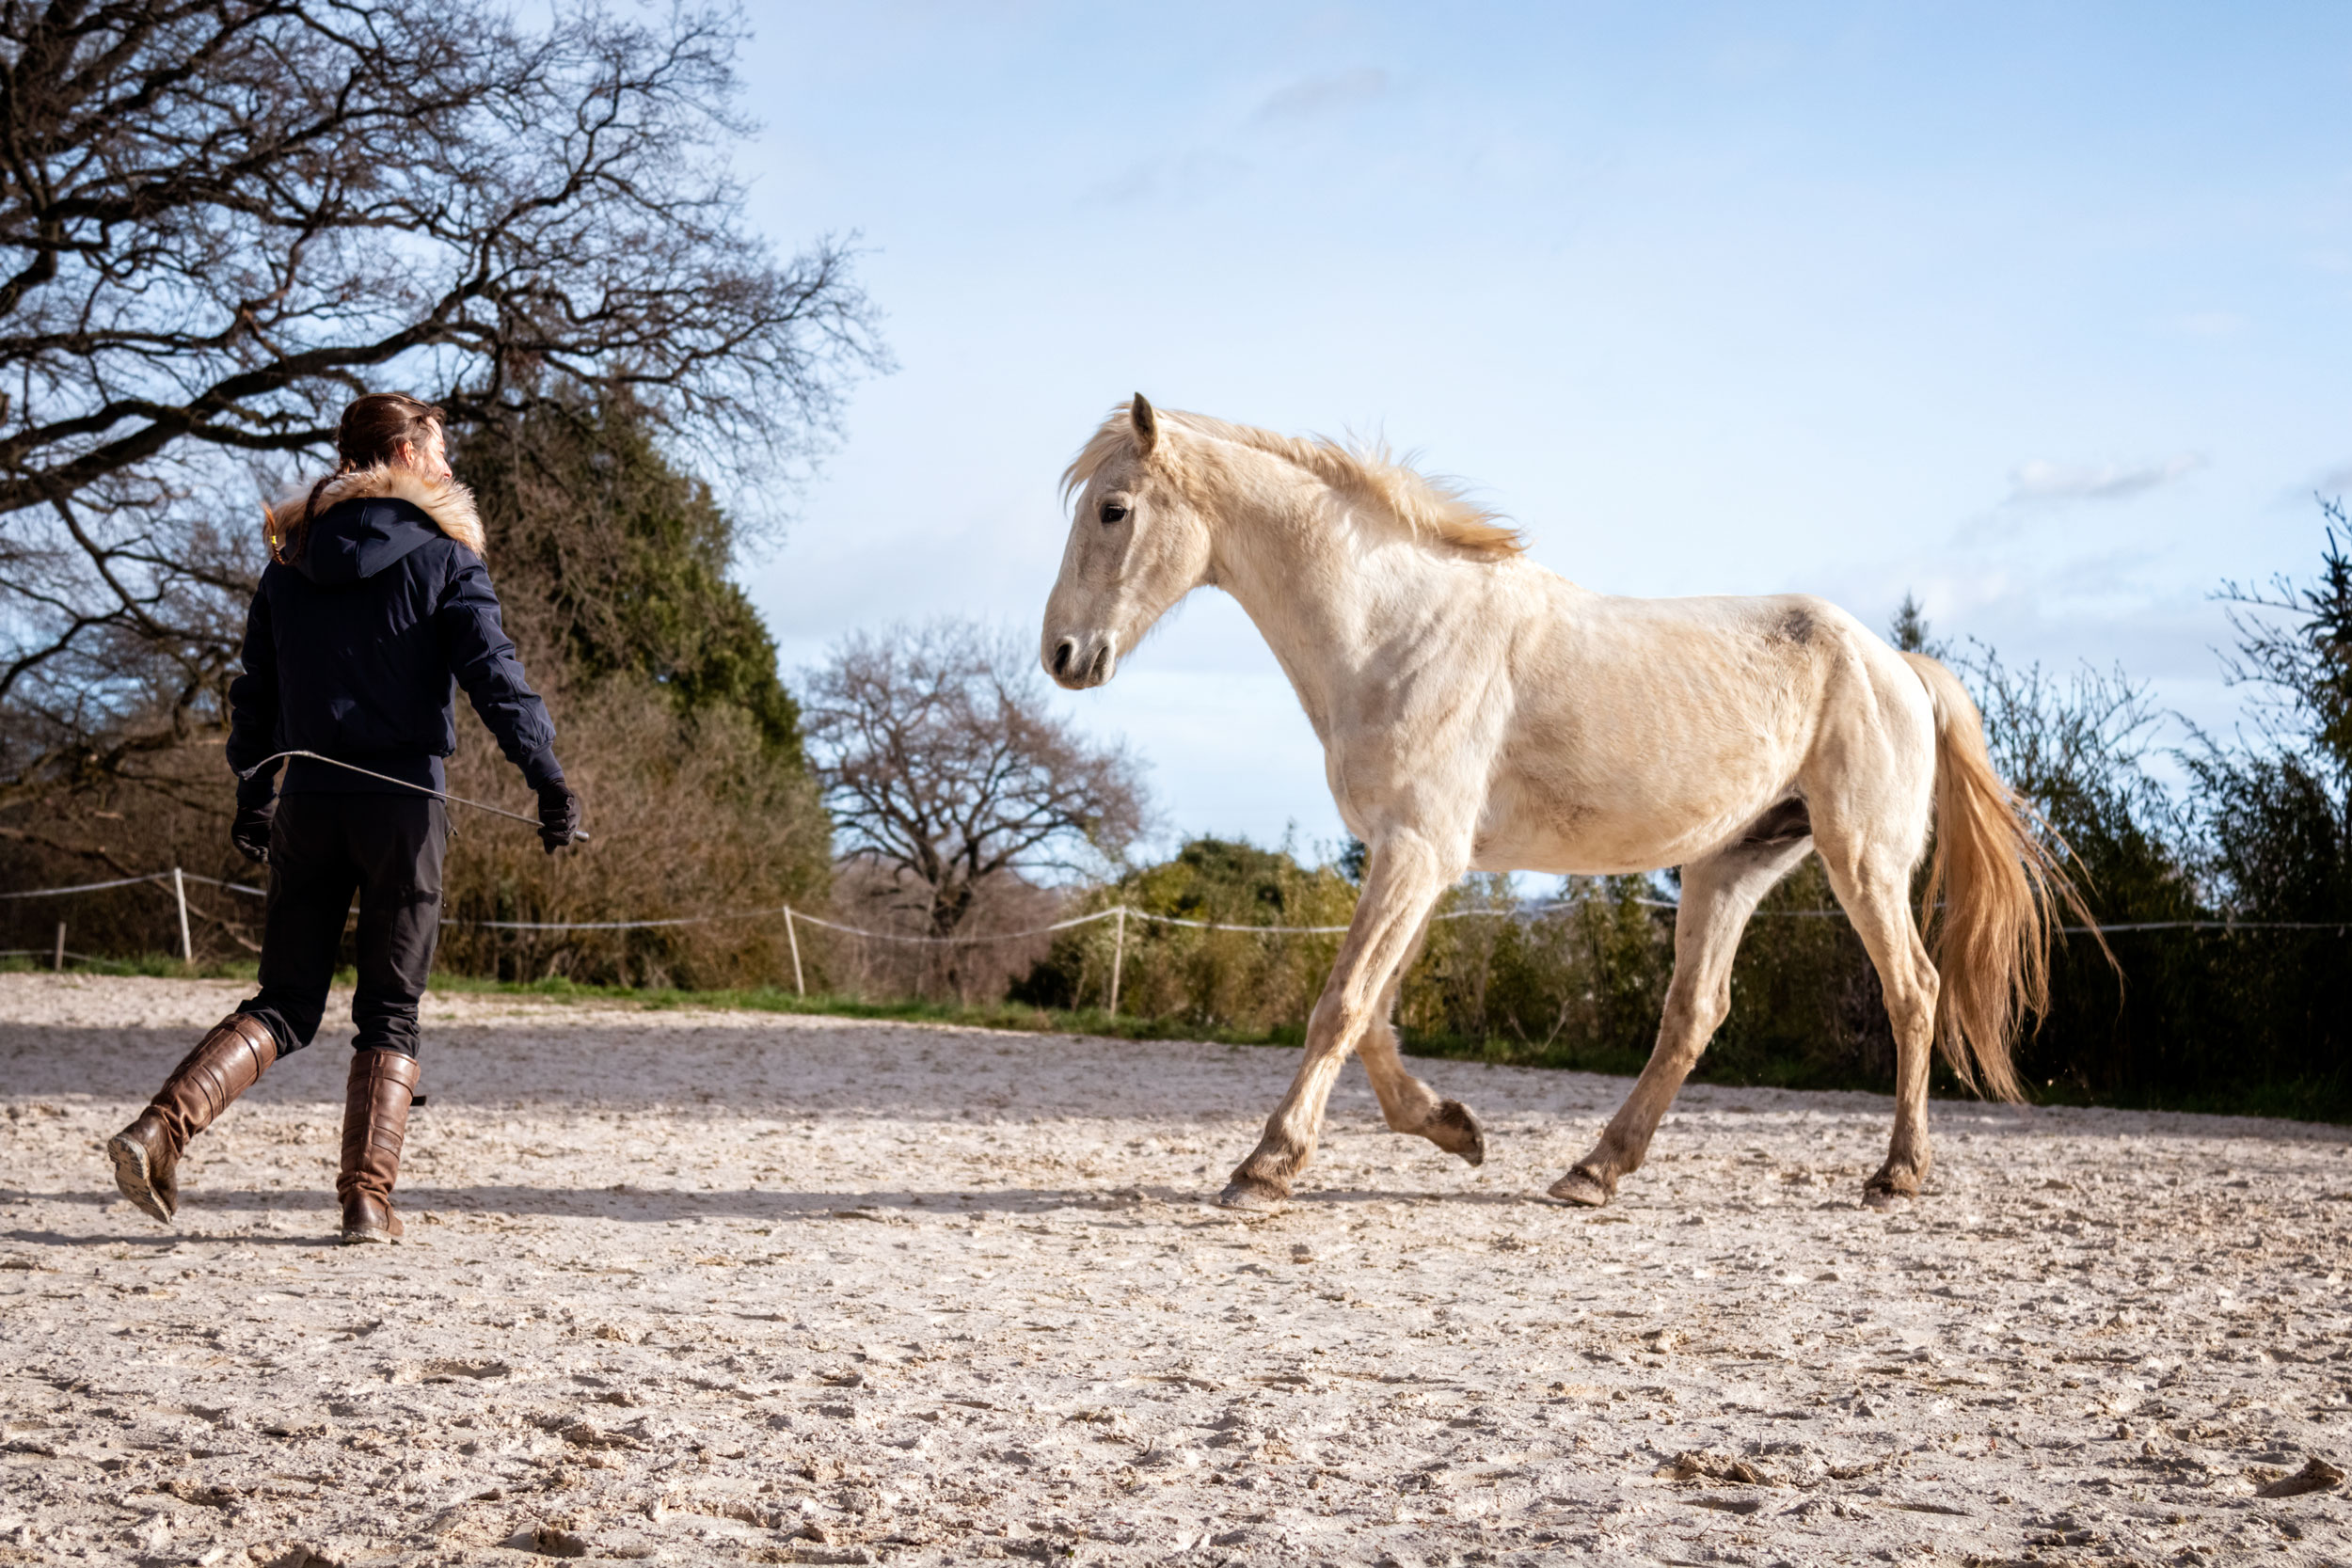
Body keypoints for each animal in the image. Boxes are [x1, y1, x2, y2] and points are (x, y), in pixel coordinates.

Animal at [1040, 395, 2102, 1213]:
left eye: (1114, 509)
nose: (1061, 655)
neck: (1399, 628)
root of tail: (1899, 664)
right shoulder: (1420, 859)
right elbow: (1374, 1013)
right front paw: (1453, 1128)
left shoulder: (1415, 852)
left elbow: (1339, 1004)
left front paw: (1263, 1169)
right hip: (1732, 863)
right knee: (1694, 1015)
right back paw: (1593, 1171)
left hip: (1861, 858)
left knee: (1912, 991)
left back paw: (1895, 1175)